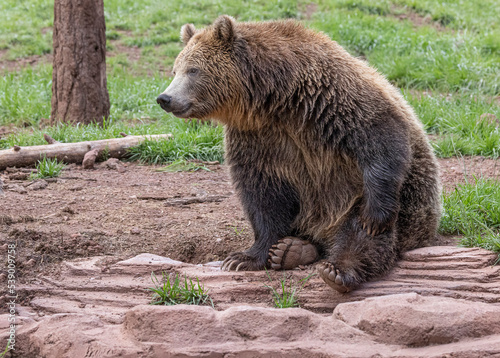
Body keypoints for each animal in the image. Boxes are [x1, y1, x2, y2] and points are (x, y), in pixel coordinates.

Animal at [156, 15, 442, 292]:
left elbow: (381, 140)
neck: (276, 97)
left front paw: (374, 217)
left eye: (193, 70)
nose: (165, 98)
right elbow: (263, 193)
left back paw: (337, 269)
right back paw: (291, 250)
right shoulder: (258, 137)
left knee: (360, 233)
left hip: (387, 205)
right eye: (175, 70)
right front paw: (244, 257)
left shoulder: (332, 100)